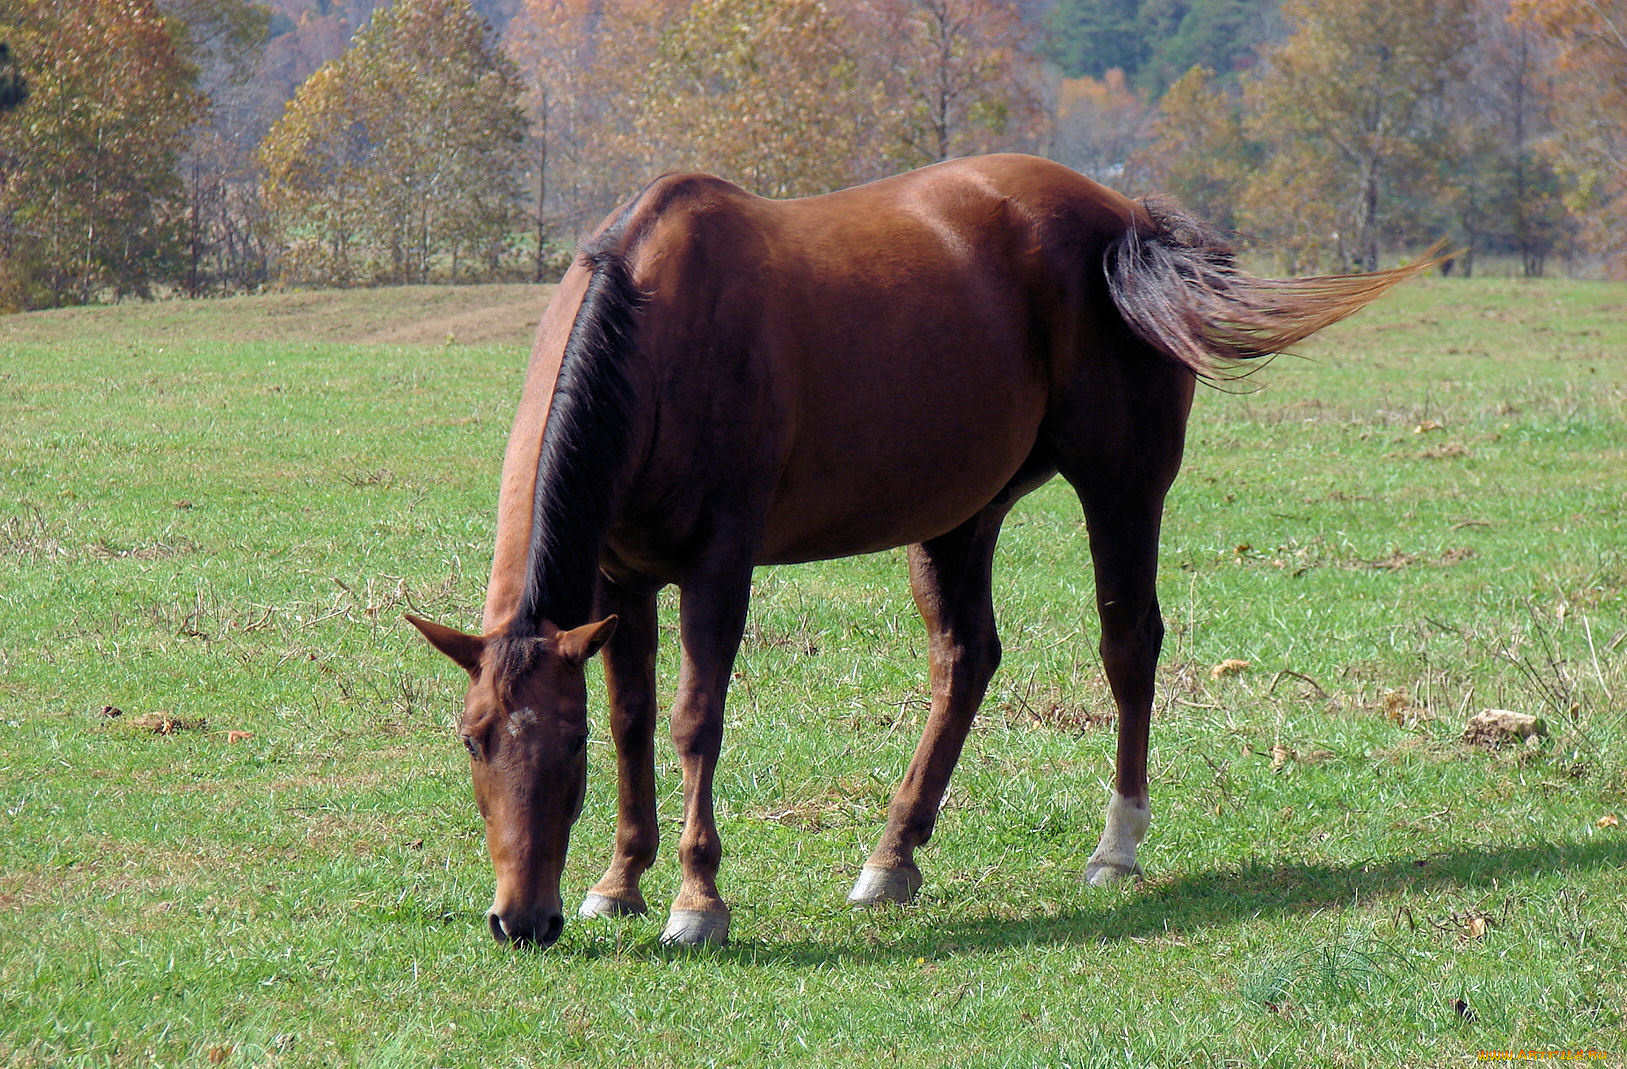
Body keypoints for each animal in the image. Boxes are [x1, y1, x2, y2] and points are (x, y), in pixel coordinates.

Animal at [406, 149, 1438, 943]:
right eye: (471, 738)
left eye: (564, 745)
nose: (519, 920)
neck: (657, 329)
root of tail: (1125, 220)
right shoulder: (624, 579)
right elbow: (637, 718)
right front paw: (620, 881)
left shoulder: (716, 566)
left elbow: (695, 720)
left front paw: (698, 901)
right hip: (959, 516)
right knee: (965, 658)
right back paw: (891, 854)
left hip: (1122, 485)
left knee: (1127, 645)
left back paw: (1116, 845)